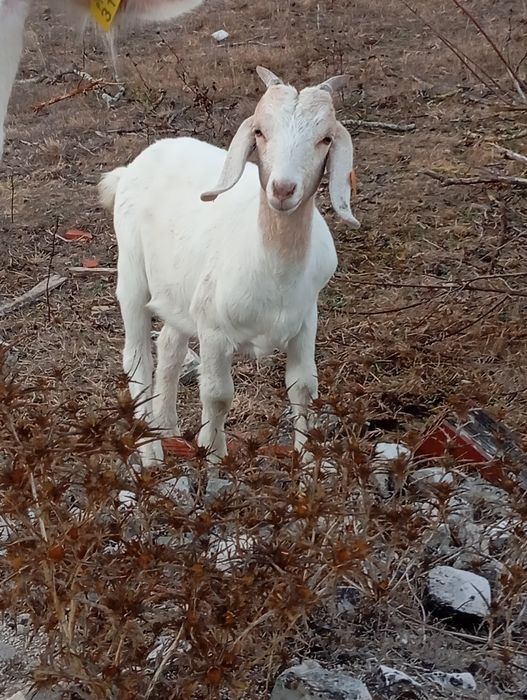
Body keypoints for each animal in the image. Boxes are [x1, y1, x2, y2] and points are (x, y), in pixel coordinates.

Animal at [99, 65, 360, 467]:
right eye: (260, 132)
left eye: (326, 139)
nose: (283, 189)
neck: (273, 265)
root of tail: (130, 168)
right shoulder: (213, 329)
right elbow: (217, 394)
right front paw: (216, 458)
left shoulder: (305, 320)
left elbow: (303, 388)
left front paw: (308, 464)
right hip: (131, 273)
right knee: (136, 358)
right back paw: (151, 455)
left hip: (179, 291)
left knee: (170, 346)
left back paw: (167, 429)